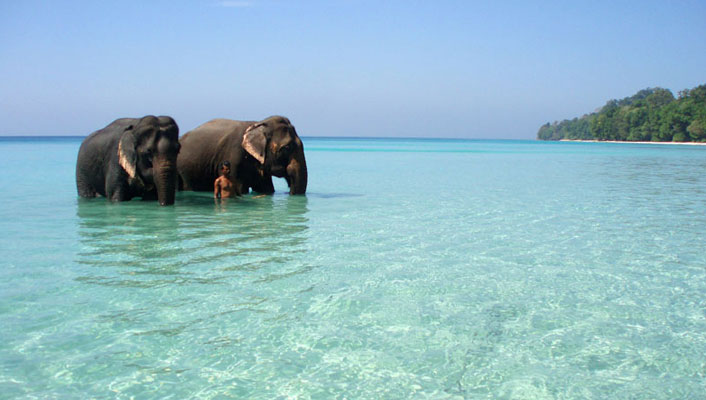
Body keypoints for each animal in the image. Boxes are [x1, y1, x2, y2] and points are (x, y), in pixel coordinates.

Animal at [176, 115, 306, 196]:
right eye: (287, 148)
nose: (289, 192)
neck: (258, 125)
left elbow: (267, 189)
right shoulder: (234, 156)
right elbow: (239, 188)